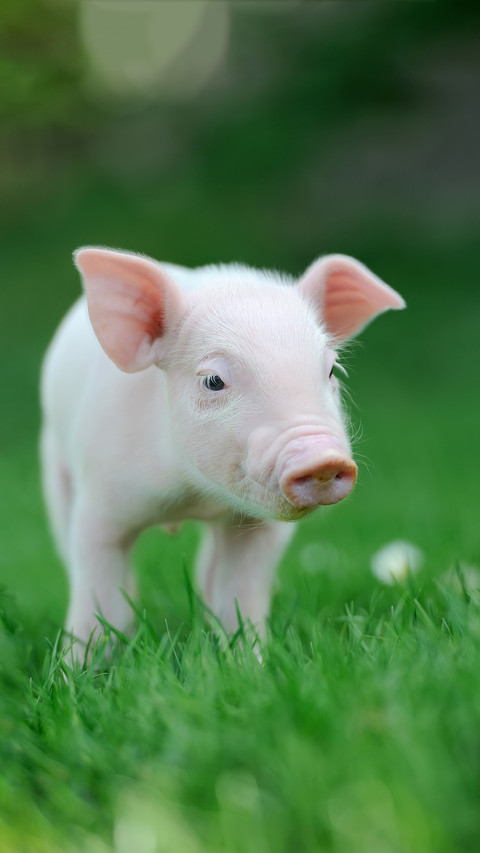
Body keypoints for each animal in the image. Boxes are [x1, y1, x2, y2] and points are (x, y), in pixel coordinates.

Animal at [40, 247, 405, 655]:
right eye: (214, 380)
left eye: (331, 371)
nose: (321, 457)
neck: (193, 495)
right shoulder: (100, 502)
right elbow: (97, 597)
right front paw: (78, 667)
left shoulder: (259, 527)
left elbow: (240, 595)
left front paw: (251, 661)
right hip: (53, 460)